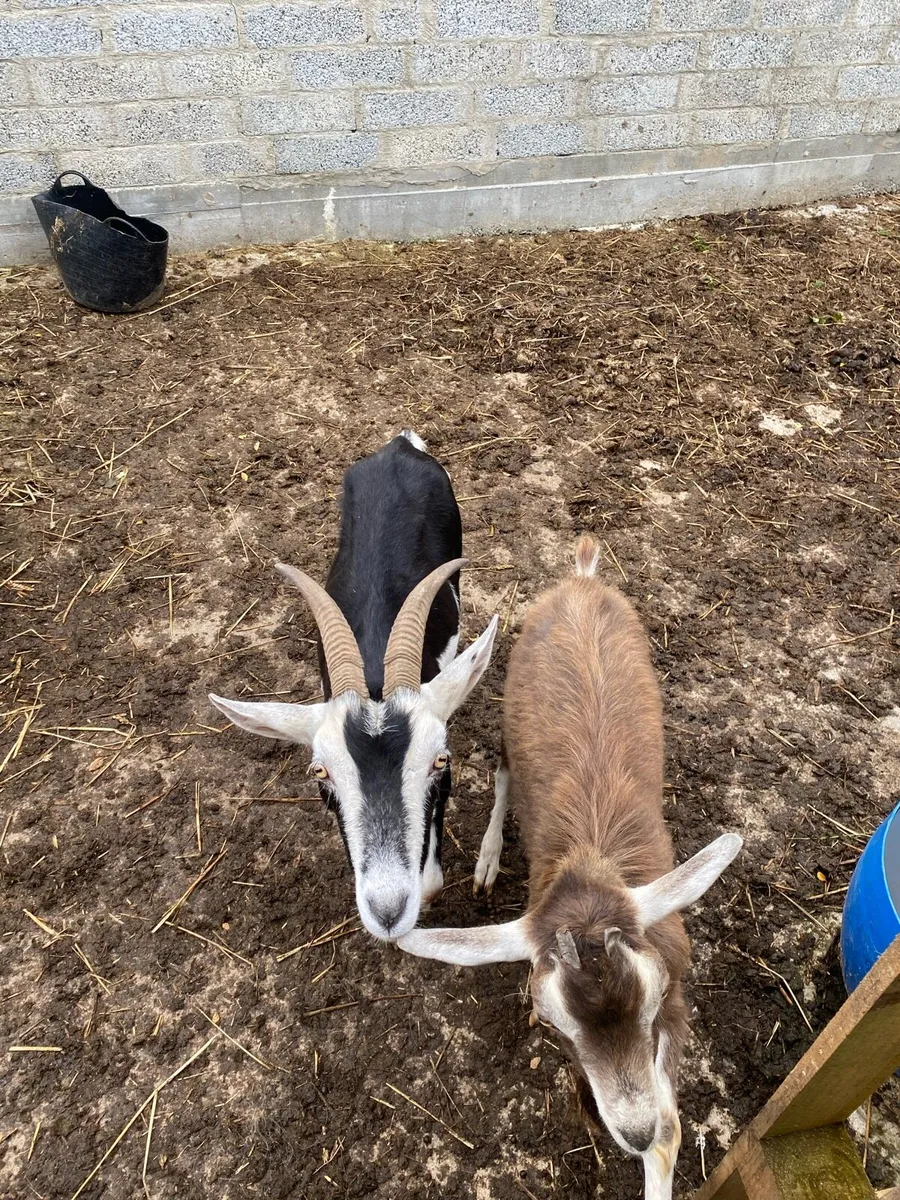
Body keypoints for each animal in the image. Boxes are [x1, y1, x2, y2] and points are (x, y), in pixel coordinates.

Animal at [210, 432, 498, 941]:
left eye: (440, 761)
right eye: (320, 774)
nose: (387, 911)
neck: (374, 670)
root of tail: (399, 446)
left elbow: (431, 884)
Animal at [399, 534, 741, 1199]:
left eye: (653, 1000)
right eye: (555, 1023)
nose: (633, 1130)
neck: (591, 854)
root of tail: (581, 578)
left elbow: (673, 1132)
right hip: (507, 711)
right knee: (503, 774)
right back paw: (486, 860)